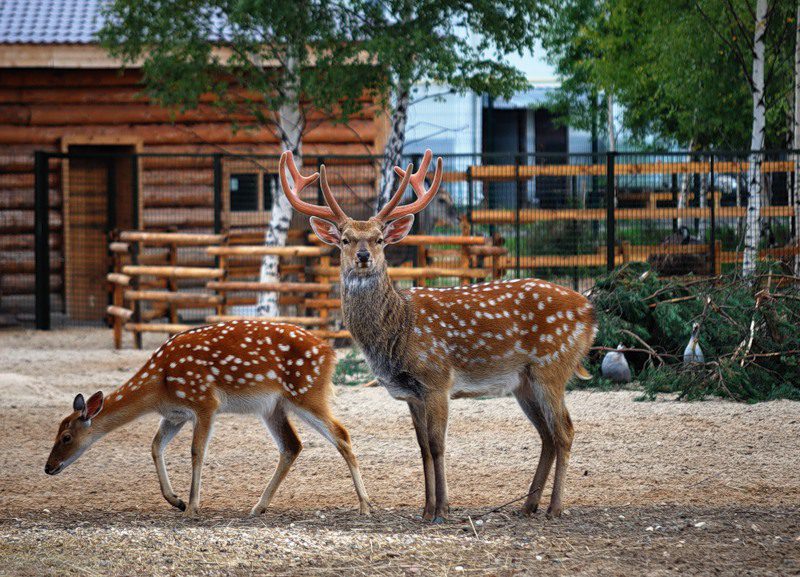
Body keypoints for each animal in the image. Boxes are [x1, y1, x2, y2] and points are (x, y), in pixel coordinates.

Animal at [48, 320, 374, 516]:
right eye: (57, 432)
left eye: (66, 436)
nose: (48, 467)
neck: (159, 385)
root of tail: (330, 353)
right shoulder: (175, 414)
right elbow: (154, 446)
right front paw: (176, 500)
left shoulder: (205, 402)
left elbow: (197, 451)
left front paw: (192, 507)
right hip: (273, 406)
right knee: (292, 445)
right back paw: (258, 506)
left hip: (307, 393)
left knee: (341, 434)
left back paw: (365, 505)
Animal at [278, 148, 596, 520]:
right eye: (345, 239)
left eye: (380, 239)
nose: (363, 256)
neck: (397, 330)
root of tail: (589, 311)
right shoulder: (410, 393)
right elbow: (422, 448)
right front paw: (426, 508)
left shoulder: (437, 380)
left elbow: (438, 444)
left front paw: (442, 508)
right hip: (524, 381)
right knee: (547, 434)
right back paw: (528, 505)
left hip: (552, 366)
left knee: (565, 431)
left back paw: (555, 508)